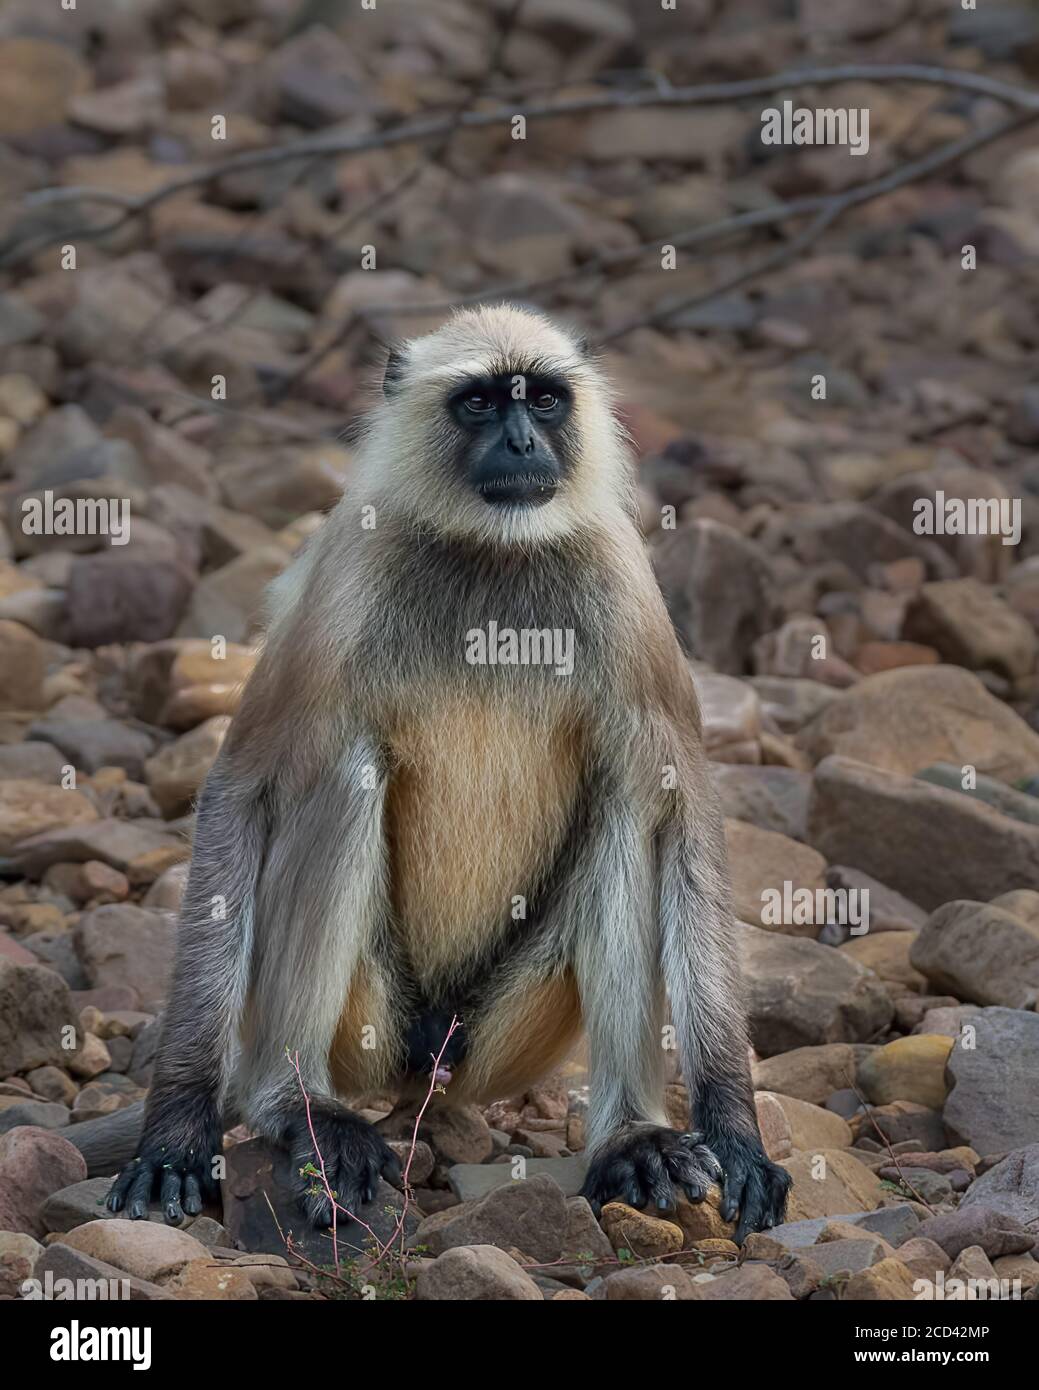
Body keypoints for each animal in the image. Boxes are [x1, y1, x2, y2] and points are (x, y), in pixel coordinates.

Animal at [107, 301, 790, 1239]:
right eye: (478, 404)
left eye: (541, 399)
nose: (520, 443)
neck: (492, 553)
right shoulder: (347, 577)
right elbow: (240, 790)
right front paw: (176, 1131)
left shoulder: (624, 585)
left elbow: (682, 812)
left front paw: (733, 1133)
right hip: (371, 1021)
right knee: (347, 773)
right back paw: (296, 1107)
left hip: (502, 1034)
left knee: (625, 805)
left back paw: (629, 1139)